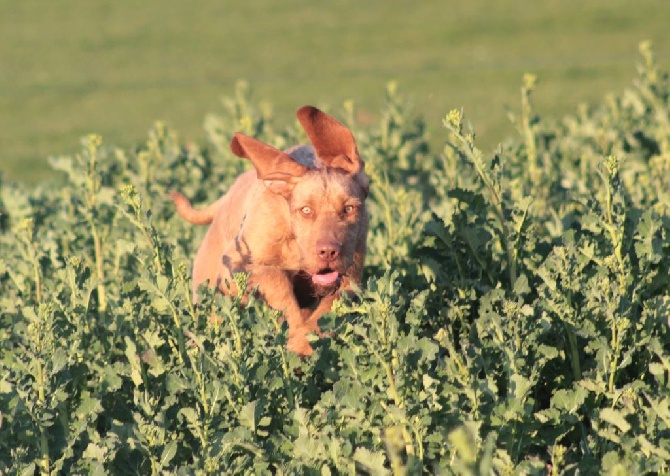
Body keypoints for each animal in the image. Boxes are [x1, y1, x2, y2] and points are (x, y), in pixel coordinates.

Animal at [168, 106, 368, 356]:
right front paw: (298, 339)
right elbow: (276, 281)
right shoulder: (237, 264)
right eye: (306, 210)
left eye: (349, 208)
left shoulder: (350, 276)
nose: (328, 252)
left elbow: (327, 309)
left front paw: (304, 341)